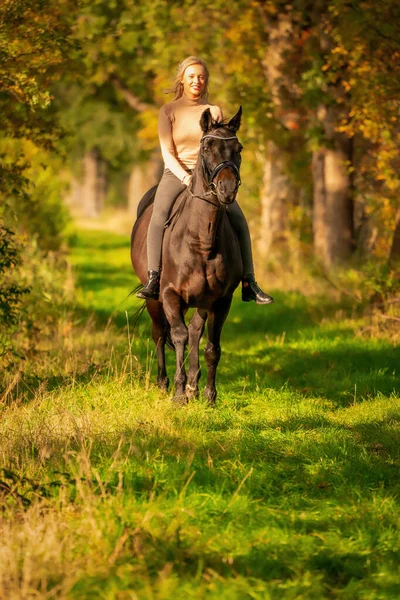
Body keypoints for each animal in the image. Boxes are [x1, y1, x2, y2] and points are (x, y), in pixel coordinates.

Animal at [133, 106, 242, 404]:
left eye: (238, 148)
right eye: (206, 148)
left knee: (195, 331)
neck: (201, 242)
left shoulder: (220, 301)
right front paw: (179, 393)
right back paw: (164, 383)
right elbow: (178, 336)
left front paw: (208, 395)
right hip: (155, 300)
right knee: (160, 334)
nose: (227, 189)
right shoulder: (170, 295)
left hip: (202, 302)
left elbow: (211, 346)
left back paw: (194, 384)